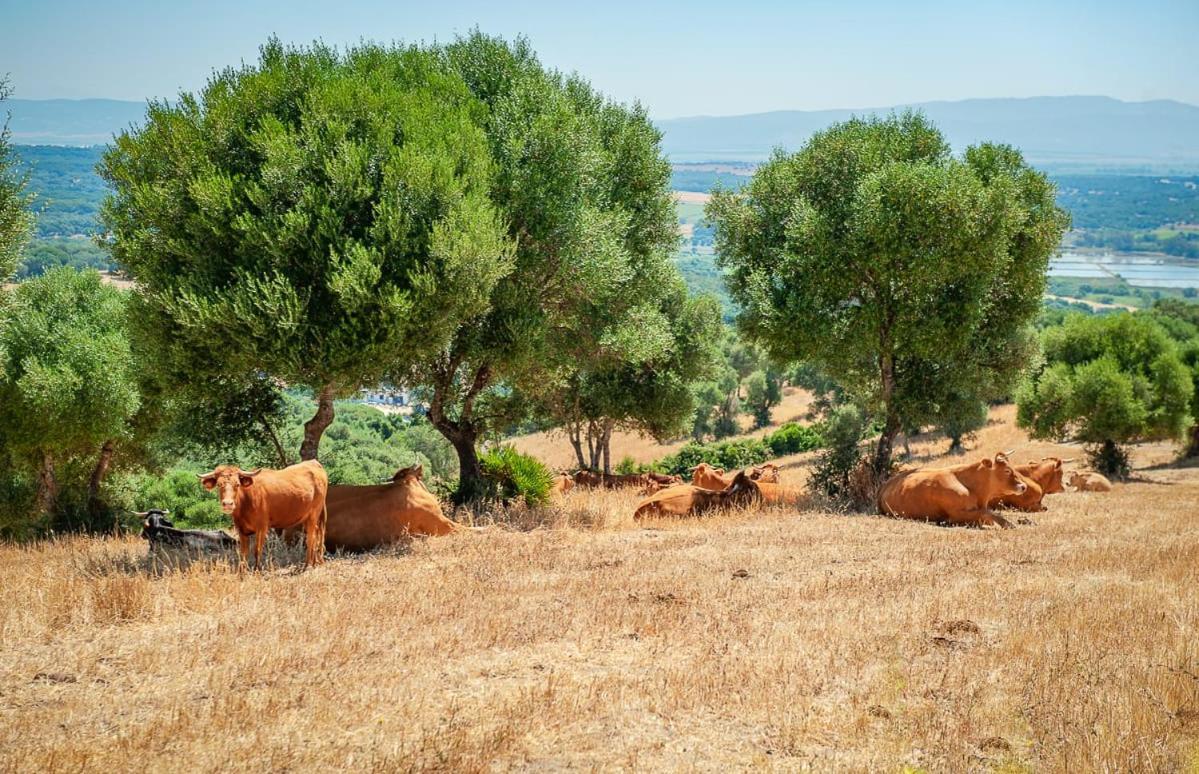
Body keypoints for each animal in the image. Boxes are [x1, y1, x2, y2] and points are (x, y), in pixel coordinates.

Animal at [199, 460, 328, 570]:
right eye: (219, 485)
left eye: (237, 484)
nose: (228, 504)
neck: (246, 500)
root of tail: (313, 462)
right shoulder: (241, 529)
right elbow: (243, 553)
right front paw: (242, 572)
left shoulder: (262, 527)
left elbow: (257, 550)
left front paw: (256, 570)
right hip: (308, 517)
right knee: (316, 534)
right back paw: (316, 562)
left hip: (314, 513)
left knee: (311, 537)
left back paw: (308, 565)